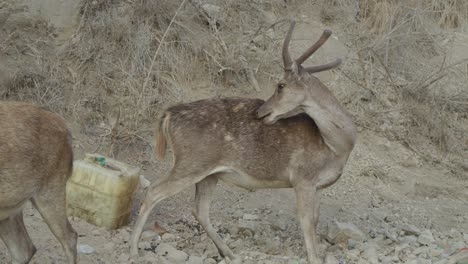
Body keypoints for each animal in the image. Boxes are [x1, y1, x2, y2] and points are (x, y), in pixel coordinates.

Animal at [130, 21, 356, 262]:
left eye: (280, 86)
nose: (260, 112)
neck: (337, 146)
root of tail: (169, 115)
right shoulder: (302, 178)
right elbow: (306, 221)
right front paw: (314, 257)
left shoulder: (318, 185)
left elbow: (315, 219)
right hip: (192, 161)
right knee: (154, 191)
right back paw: (133, 248)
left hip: (209, 172)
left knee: (199, 209)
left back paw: (230, 253)